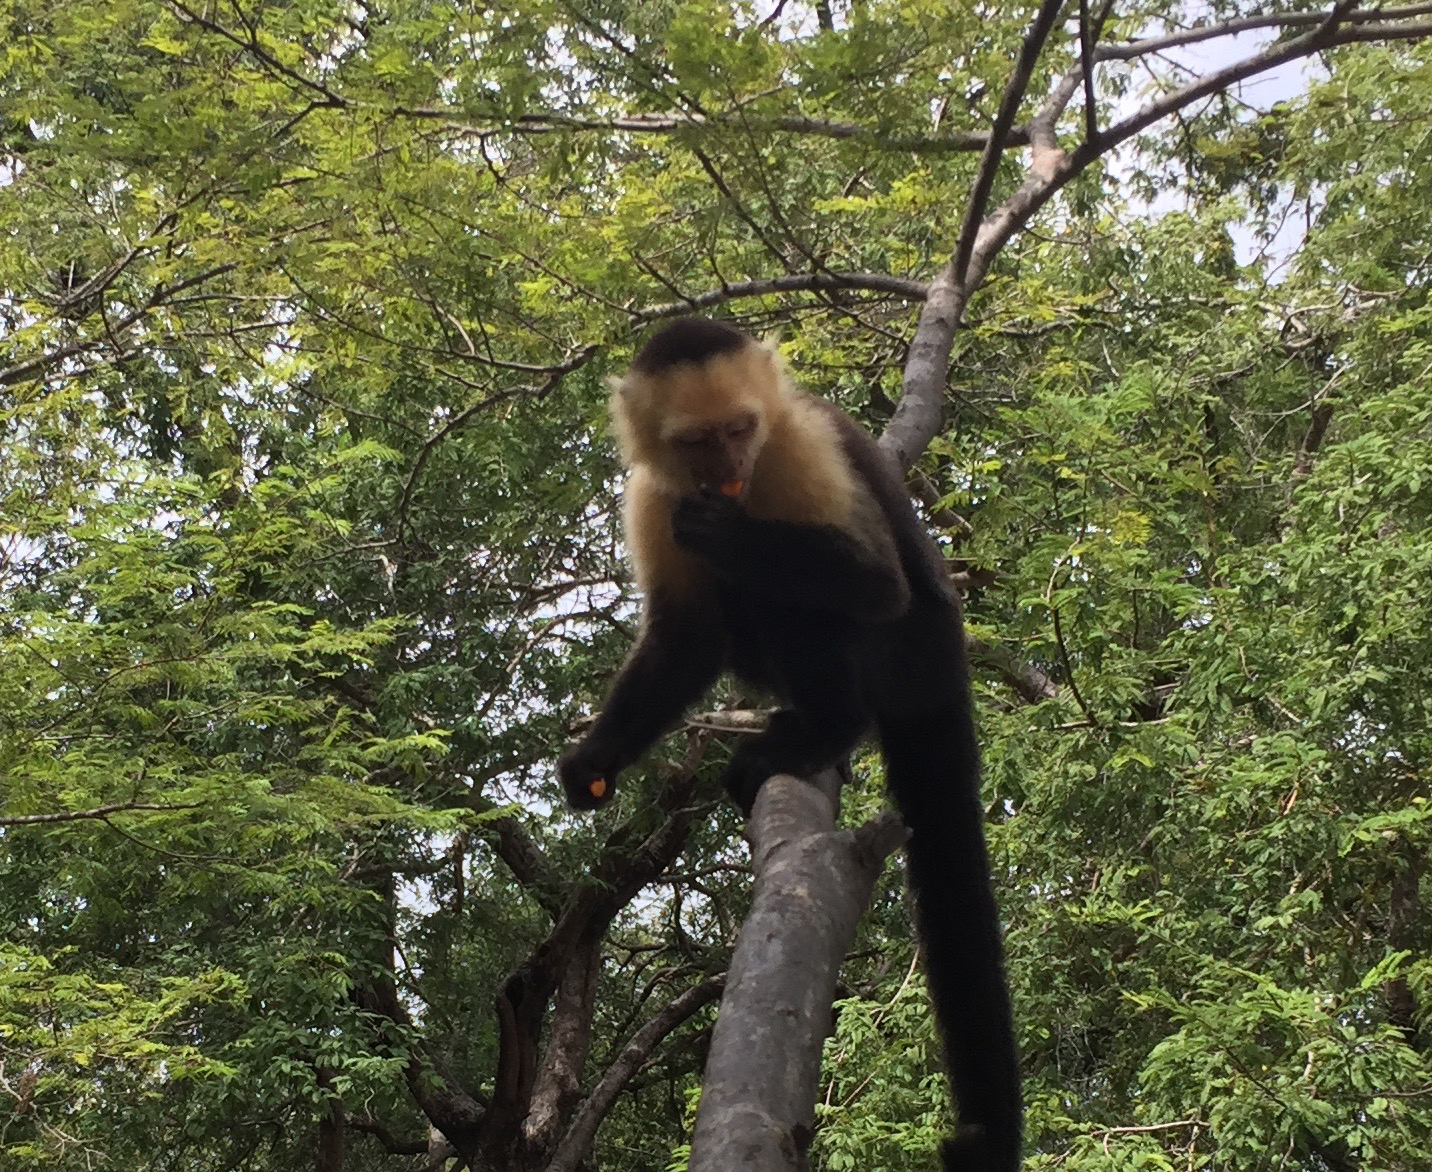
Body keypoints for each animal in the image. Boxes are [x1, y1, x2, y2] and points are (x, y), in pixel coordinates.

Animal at [558, 318, 1019, 1169]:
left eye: (741, 431)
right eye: (698, 440)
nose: (730, 470)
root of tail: (946, 656)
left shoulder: (800, 445)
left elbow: (873, 583)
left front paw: (728, 532)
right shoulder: (650, 490)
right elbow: (684, 634)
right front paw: (597, 760)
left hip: (905, 652)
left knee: (812, 597)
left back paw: (824, 726)